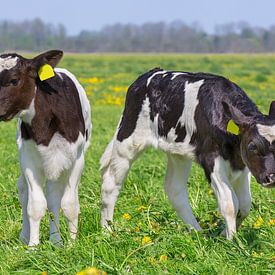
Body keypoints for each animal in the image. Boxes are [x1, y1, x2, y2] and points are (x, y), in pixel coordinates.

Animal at [0, 49, 92, 246]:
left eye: (14, 80)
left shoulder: (77, 159)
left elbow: (70, 204)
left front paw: (71, 245)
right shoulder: (28, 159)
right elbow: (35, 205)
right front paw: (33, 247)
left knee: (54, 196)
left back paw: (56, 241)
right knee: (26, 191)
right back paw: (27, 237)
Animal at [101, 68, 275, 239]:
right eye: (252, 146)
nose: (272, 177)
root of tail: (148, 74)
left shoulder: (242, 163)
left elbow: (245, 204)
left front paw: (224, 233)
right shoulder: (211, 159)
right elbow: (230, 204)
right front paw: (232, 240)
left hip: (177, 152)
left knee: (174, 188)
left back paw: (196, 232)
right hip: (128, 139)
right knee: (110, 181)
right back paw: (107, 230)